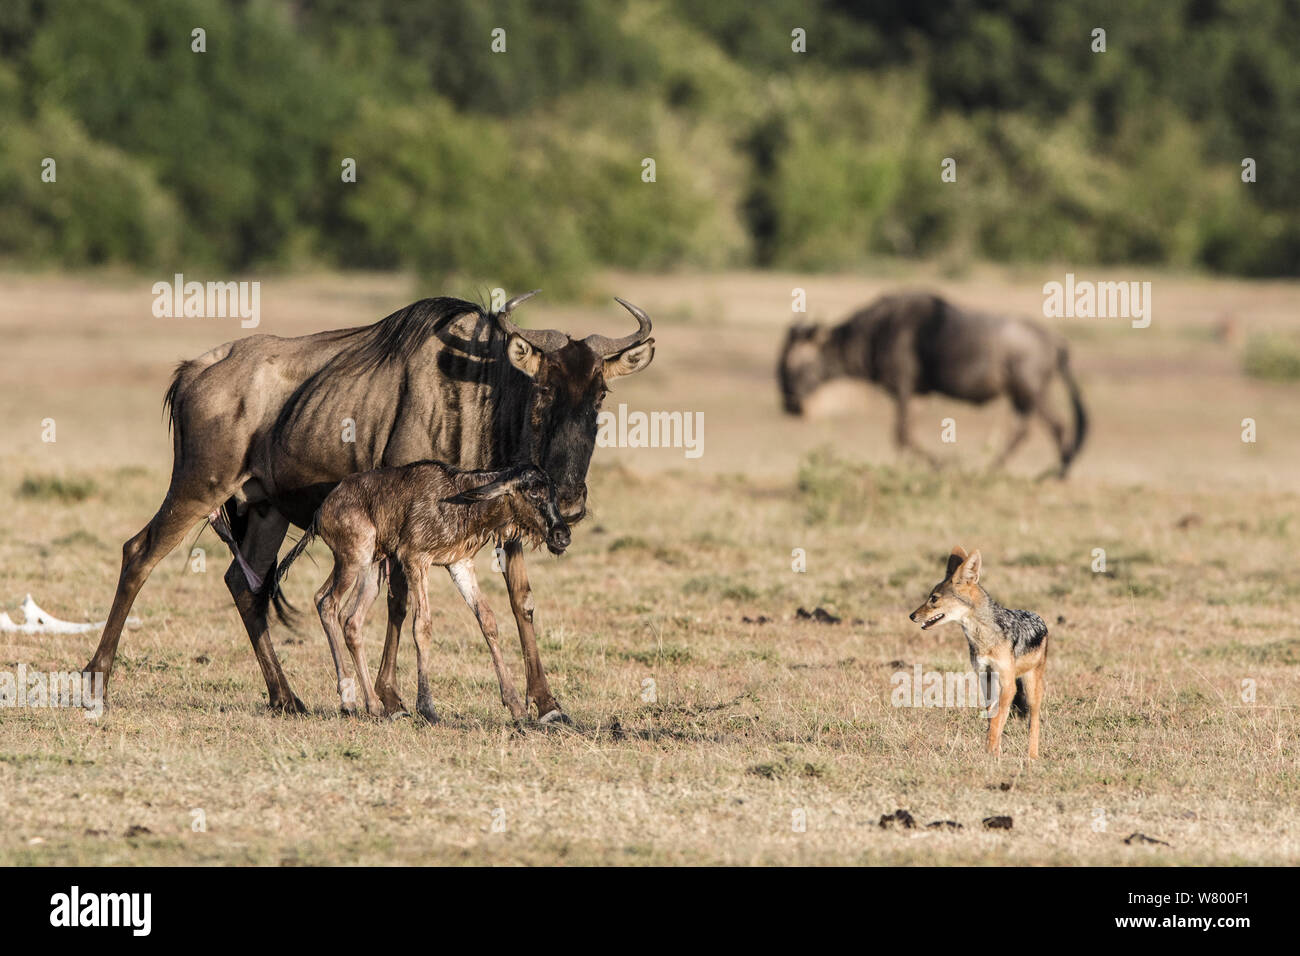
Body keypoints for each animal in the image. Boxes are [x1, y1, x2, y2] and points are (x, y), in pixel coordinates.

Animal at [263, 465, 569, 723]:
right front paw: (427, 708)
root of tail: (321, 511)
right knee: (327, 602)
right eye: (532, 491)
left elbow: (487, 620)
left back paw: (372, 705)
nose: (562, 535)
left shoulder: (460, 564)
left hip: (372, 568)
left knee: (349, 618)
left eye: (553, 491)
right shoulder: (415, 560)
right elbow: (422, 626)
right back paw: (351, 700)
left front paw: (516, 705)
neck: (464, 503)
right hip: (353, 558)